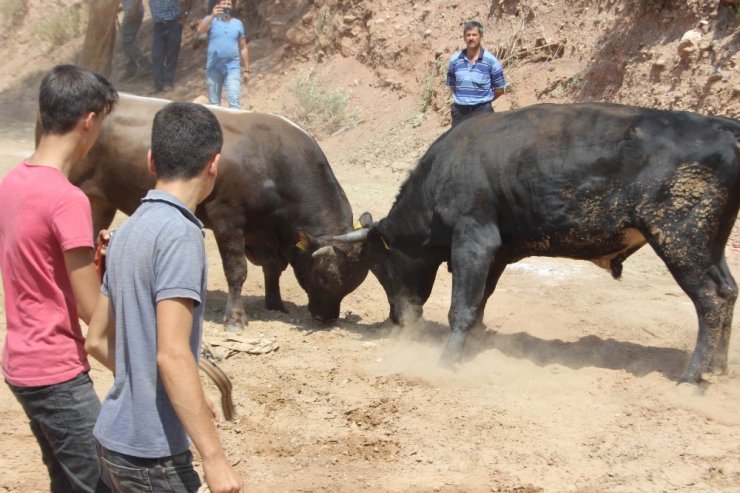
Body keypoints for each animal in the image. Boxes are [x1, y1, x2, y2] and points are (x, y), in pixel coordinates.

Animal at [65, 94, 368, 328]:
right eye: (324, 277)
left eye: (354, 282)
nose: (325, 318)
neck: (269, 160)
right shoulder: (228, 218)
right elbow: (237, 270)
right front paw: (235, 318)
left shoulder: (266, 234)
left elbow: (273, 269)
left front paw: (275, 303)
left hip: (101, 201)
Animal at [340, 102, 740, 382]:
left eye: (379, 267)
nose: (397, 319)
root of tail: (723, 126)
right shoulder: (497, 252)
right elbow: (480, 302)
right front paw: (477, 345)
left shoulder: (474, 240)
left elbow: (462, 306)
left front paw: (448, 360)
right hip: (711, 245)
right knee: (728, 290)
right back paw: (718, 368)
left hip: (680, 238)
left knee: (710, 299)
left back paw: (692, 377)